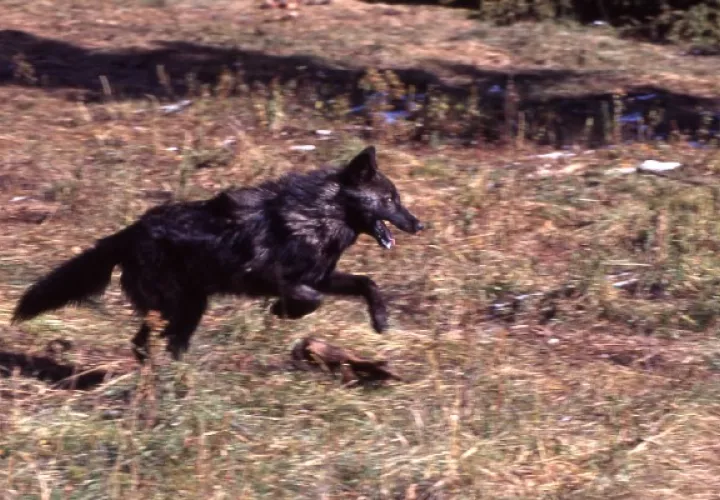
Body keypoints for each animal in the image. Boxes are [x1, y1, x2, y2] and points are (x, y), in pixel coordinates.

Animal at [12, 146, 423, 362]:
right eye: (391, 200)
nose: (420, 225)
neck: (318, 216)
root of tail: (129, 231)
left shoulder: (321, 275)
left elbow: (366, 283)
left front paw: (381, 321)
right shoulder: (269, 276)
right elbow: (311, 299)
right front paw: (282, 311)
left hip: (189, 308)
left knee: (154, 343)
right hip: (177, 307)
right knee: (147, 342)